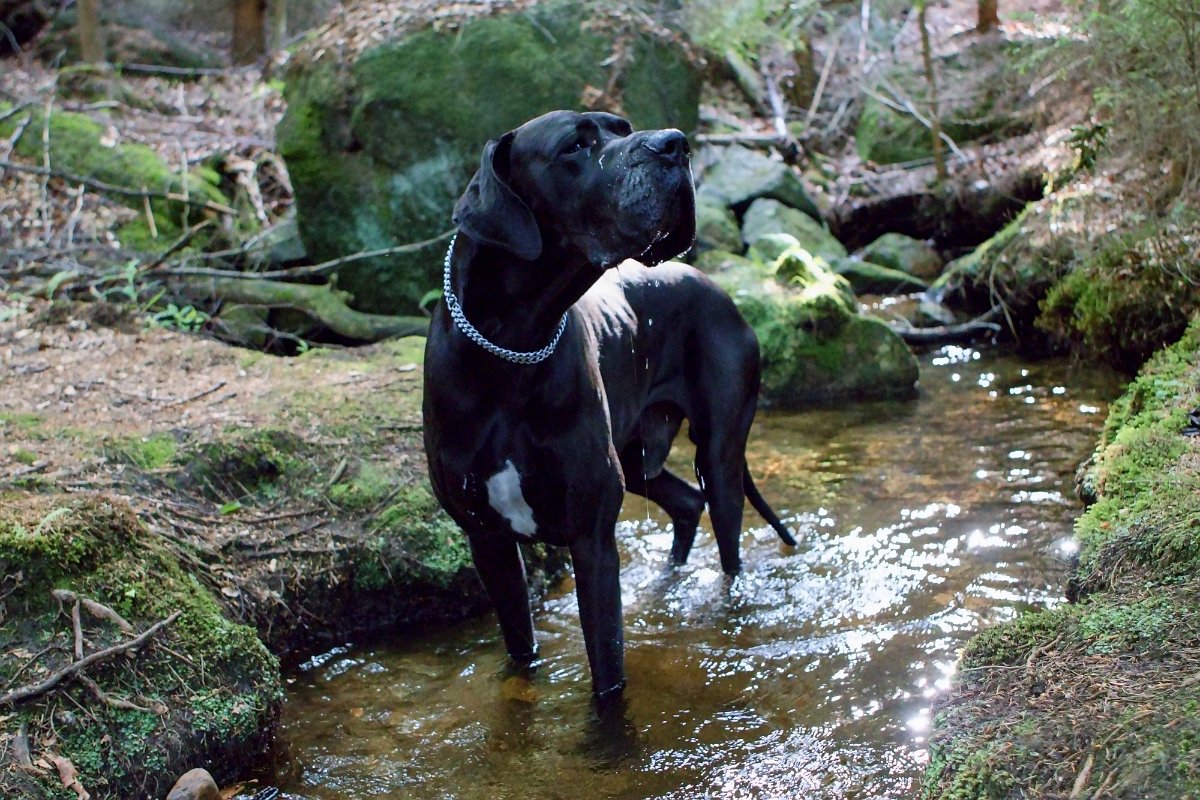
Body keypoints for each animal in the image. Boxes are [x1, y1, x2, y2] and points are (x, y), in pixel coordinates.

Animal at [422, 109, 796, 695]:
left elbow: (607, 673)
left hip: (719, 456)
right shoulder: (487, 542)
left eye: (624, 127)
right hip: (637, 456)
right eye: (576, 146)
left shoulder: (591, 538)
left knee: (722, 531)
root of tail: (715, 285)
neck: (514, 347)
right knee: (685, 501)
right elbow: (520, 648)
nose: (675, 144)